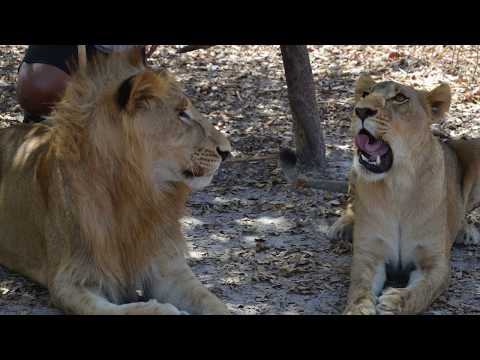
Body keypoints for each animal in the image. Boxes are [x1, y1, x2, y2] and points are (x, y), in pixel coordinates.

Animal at [0, 49, 232, 314]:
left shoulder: (169, 269)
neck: (138, 191)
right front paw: (164, 309)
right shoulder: (70, 280)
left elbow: (214, 303)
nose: (227, 151)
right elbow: (124, 309)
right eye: (181, 113)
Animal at [338, 74, 480, 314]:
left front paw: (393, 303)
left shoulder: (435, 263)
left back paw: (467, 232)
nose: (361, 110)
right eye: (366, 94)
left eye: (400, 98)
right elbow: (359, 287)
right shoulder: (368, 256)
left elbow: (421, 291)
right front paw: (358, 309)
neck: (398, 185)